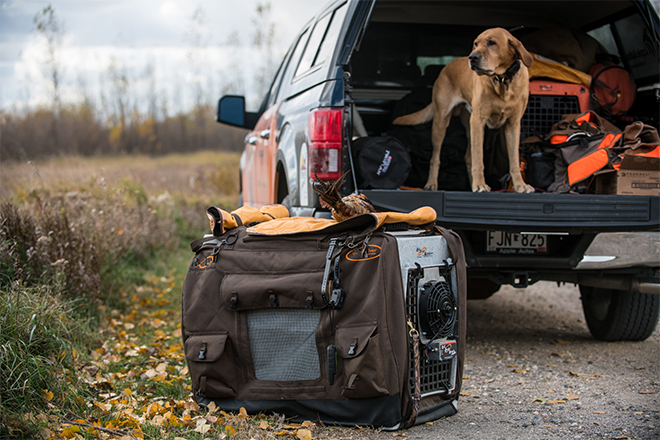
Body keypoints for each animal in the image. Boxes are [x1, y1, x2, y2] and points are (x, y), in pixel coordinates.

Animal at [394, 27, 532, 192]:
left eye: (491, 43)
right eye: (476, 44)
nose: (472, 57)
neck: (502, 81)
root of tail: (446, 66)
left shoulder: (513, 125)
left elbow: (514, 161)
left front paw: (520, 185)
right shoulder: (479, 121)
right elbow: (479, 159)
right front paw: (480, 184)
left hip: (470, 127)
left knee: (468, 157)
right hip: (442, 122)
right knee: (436, 157)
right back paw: (432, 183)